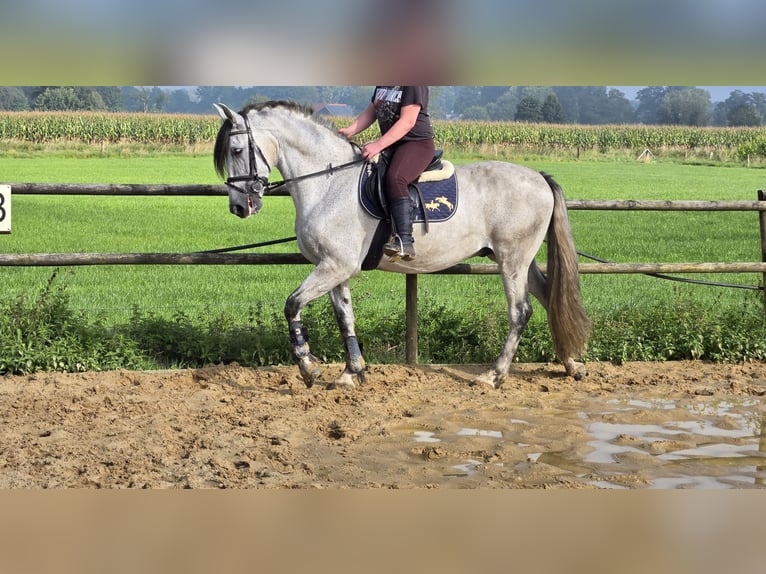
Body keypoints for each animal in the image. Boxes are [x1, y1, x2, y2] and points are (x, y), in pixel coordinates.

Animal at [213, 100, 591, 390]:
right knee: (549, 298)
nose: (239, 207)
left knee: (520, 311)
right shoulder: (334, 268)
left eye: (236, 150)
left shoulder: (335, 266)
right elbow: (345, 318)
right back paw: (572, 365)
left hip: (512, 259)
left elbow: (292, 305)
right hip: (523, 260)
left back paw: (493, 375)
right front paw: (352, 373)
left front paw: (309, 368)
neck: (329, 183)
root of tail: (539, 177)